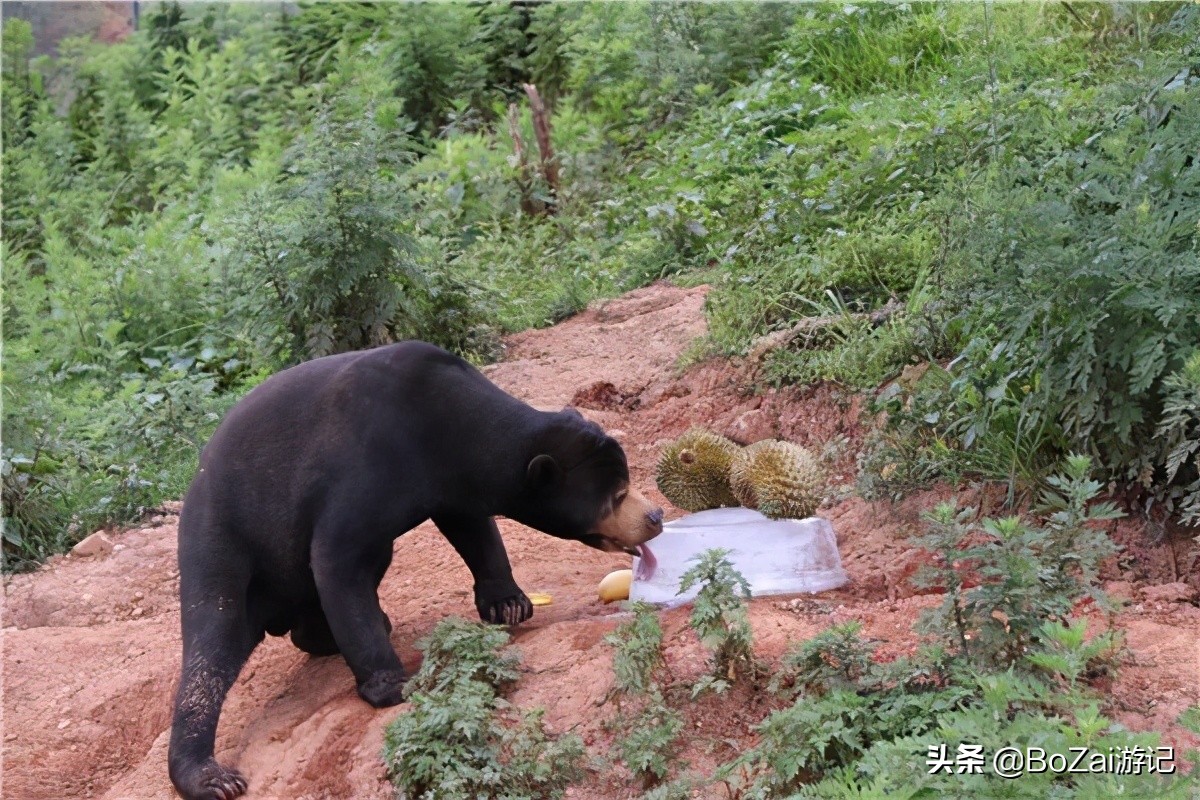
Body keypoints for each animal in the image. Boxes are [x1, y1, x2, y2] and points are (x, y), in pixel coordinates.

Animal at [166, 340, 667, 800]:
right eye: (618, 495)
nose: (656, 516)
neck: (449, 425)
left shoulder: (449, 481)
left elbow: (474, 529)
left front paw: (509, 605)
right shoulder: (365, 463)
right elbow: (337, 558)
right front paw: (394, 686)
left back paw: (322, 634)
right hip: (220, 536)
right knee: (213, 638)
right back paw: (211, 777)